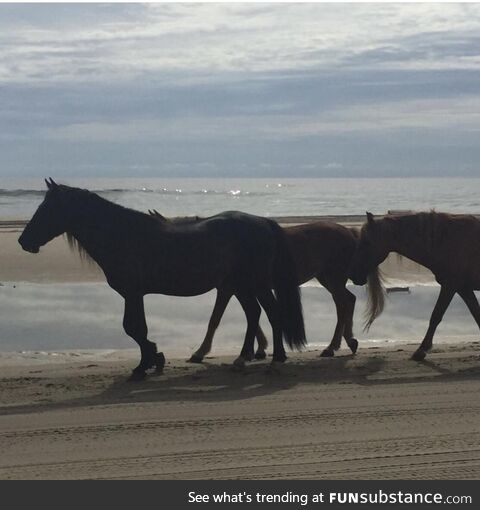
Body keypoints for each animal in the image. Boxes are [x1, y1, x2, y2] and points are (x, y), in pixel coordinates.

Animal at [18, 179, 306, 378]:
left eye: (47, 209)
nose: (23, 241)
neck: (122, 235)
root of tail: (263, 222)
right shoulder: (134, 295)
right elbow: (135, 329)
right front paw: (154, 359)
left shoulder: (133, 294)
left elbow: (134, 328)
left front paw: (146, 364)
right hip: (243, 285)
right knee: (255, 313)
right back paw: (245, 358)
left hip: (255, 283)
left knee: (271, 313)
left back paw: (275, 359)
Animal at [148, 211, 384, 362]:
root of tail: (349, 232)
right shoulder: (240, 289)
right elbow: (253, 316)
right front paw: (259, 348)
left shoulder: (228, 289)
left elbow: (217, 319)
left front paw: (201, 352)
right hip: (326, 278)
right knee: (346, 301)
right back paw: (345, 342)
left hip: (332, 278)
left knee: (344, 303)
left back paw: (335, 346)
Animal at [348, 211, 480, 362]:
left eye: (366, 242)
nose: (353, 274)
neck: (448, 241)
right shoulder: (463, 289)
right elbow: (476, 314)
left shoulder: (450, 286)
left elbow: (436, 316)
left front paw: (421, 350)